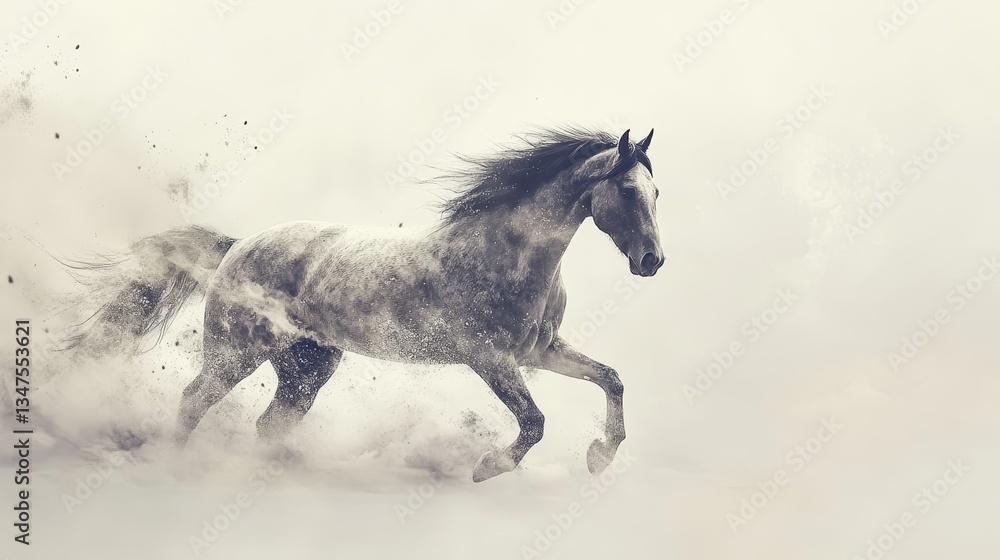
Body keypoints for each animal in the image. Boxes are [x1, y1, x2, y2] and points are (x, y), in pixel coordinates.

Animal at [69, 126, 664, 482]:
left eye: (657, 193)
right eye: (628, 191)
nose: (652, 260)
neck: (507, 256)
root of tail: (237, 247)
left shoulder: (540, 352)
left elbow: (611, 379)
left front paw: (600, 456)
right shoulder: (489, 358)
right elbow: (535, 421)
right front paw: (488, 467)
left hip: (308, 366)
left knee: (271, 422)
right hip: (237, 350)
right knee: (194, 400)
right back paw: (179, 466)